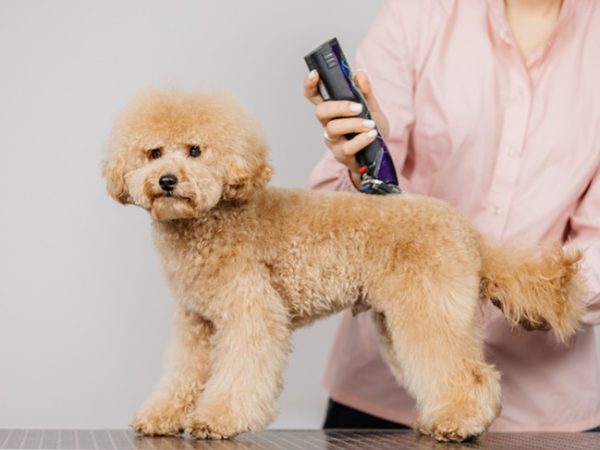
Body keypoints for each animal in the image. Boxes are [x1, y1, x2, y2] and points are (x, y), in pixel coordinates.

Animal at [101, 89, 584, 442]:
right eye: (153, 153)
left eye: (196, 151)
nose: (167, 181)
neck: (213, 220)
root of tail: (468, 231)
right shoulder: (196, 321)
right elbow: (182, 373)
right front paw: (162, 415)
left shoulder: (250, 312)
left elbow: (241, 371)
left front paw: (216, 420)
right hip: (399, 321)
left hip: (429, 307)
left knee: (467, 372)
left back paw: (459, 422)